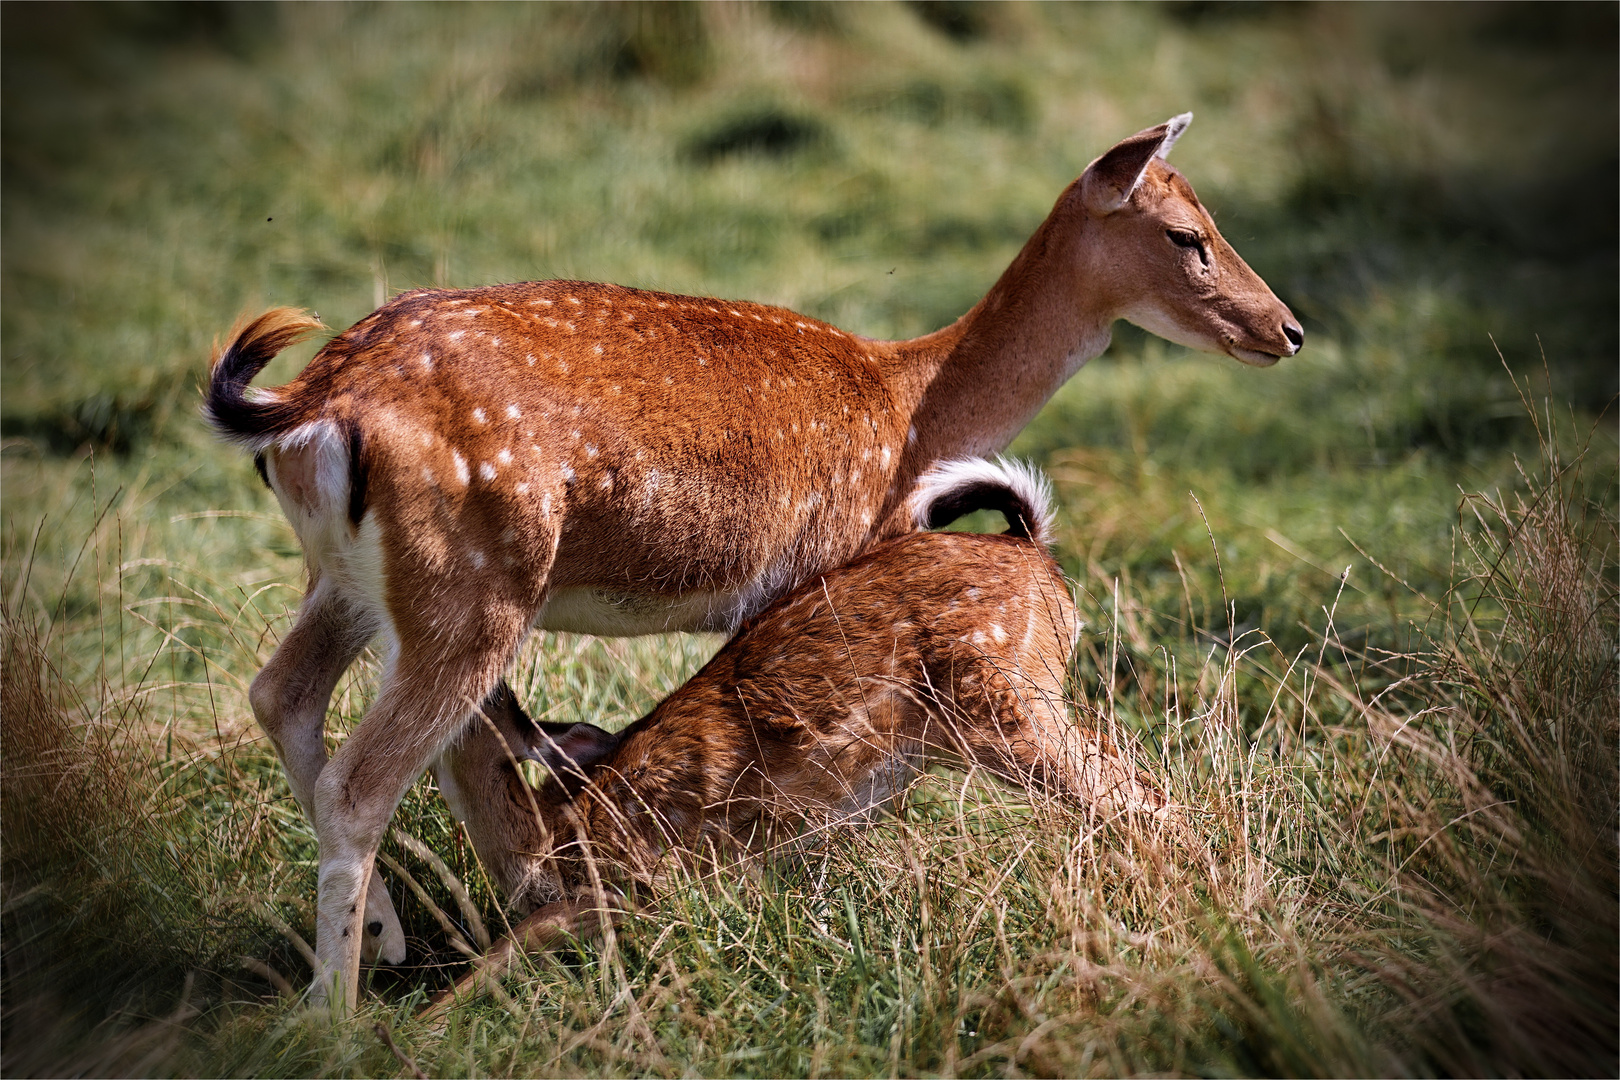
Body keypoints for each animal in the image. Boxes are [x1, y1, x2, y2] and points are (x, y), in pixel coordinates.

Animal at [205, 114, 1289, 1010]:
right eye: (1185, 235)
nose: (1287, 328)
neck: (912, 412)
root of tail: (310, 404)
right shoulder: (813, 566)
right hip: (474, 587)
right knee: (362, 778)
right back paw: (337, 1018)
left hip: (348, 581)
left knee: (281, 694)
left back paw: (387, 943)